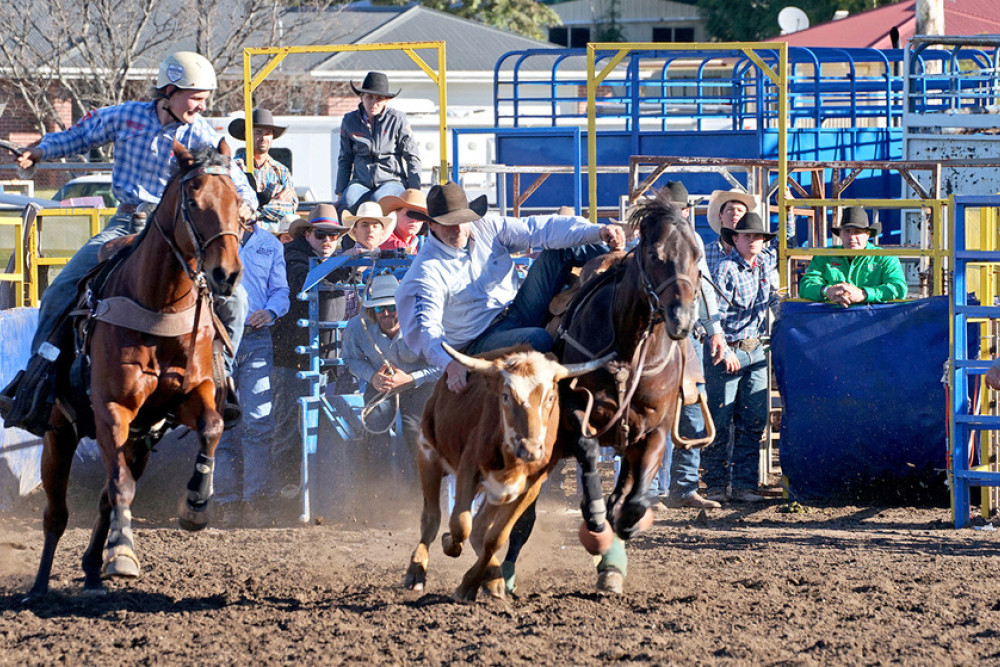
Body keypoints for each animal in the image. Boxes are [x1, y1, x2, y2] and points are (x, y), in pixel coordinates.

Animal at [25, 142, 244, 600]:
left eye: (239, 203)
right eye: (193, 202)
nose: (226, 274)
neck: (158, 305)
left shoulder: (191, 396)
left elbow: (212, 427)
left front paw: (195, 505)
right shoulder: (113, 410)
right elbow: (120, 486)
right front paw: (123, 554)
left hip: (141, 442)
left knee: (106, 495)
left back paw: (94, 570)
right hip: (59, 435)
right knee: (58, 513)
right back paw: (39, 587)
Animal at [504, 188, 708, 596]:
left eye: (696, 254)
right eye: (655, 254)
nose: (681, 320)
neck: (628, 351)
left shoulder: (654, 429)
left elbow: (632, 499)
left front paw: (624, 527)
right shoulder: (575, 414)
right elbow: (587, 455)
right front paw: (596, 516)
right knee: (525, 512)